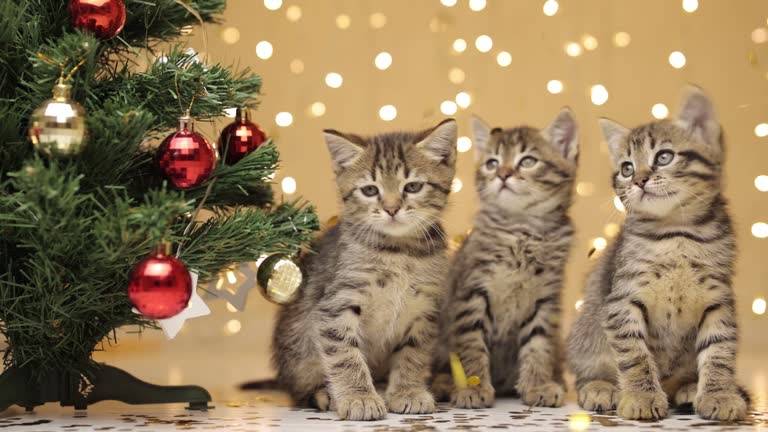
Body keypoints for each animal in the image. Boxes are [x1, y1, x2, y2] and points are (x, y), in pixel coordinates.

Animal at [274, 118, 456, 418]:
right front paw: (359, 398)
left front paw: (409, 391)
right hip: (297, 348)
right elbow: (344, 354)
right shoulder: (336, 304)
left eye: (413, 187)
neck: (398, 251)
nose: (392, 209)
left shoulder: (425, 308)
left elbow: (414, 354)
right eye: (370, 190)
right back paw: (326, 394)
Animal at [436, 109, 580, 408]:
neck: (522, 231)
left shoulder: (545, 298)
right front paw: (474, 387)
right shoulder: (472, 293)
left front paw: (537, 385)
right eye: (492, 163)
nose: (502, 174)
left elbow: (538, 344)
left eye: (527, 161)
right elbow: (471, 345)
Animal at [568, 86, 748, 420]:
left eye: (664, 157)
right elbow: (634, 354)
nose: (639, 180)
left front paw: (720, 394)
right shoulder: (622, 299)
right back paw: (601, 387)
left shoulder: (718, 298)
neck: (676, 234)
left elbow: (719, 349)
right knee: (587, 369)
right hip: (586, 331)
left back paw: (688, 387)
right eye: (626, 168)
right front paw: (641, 396)